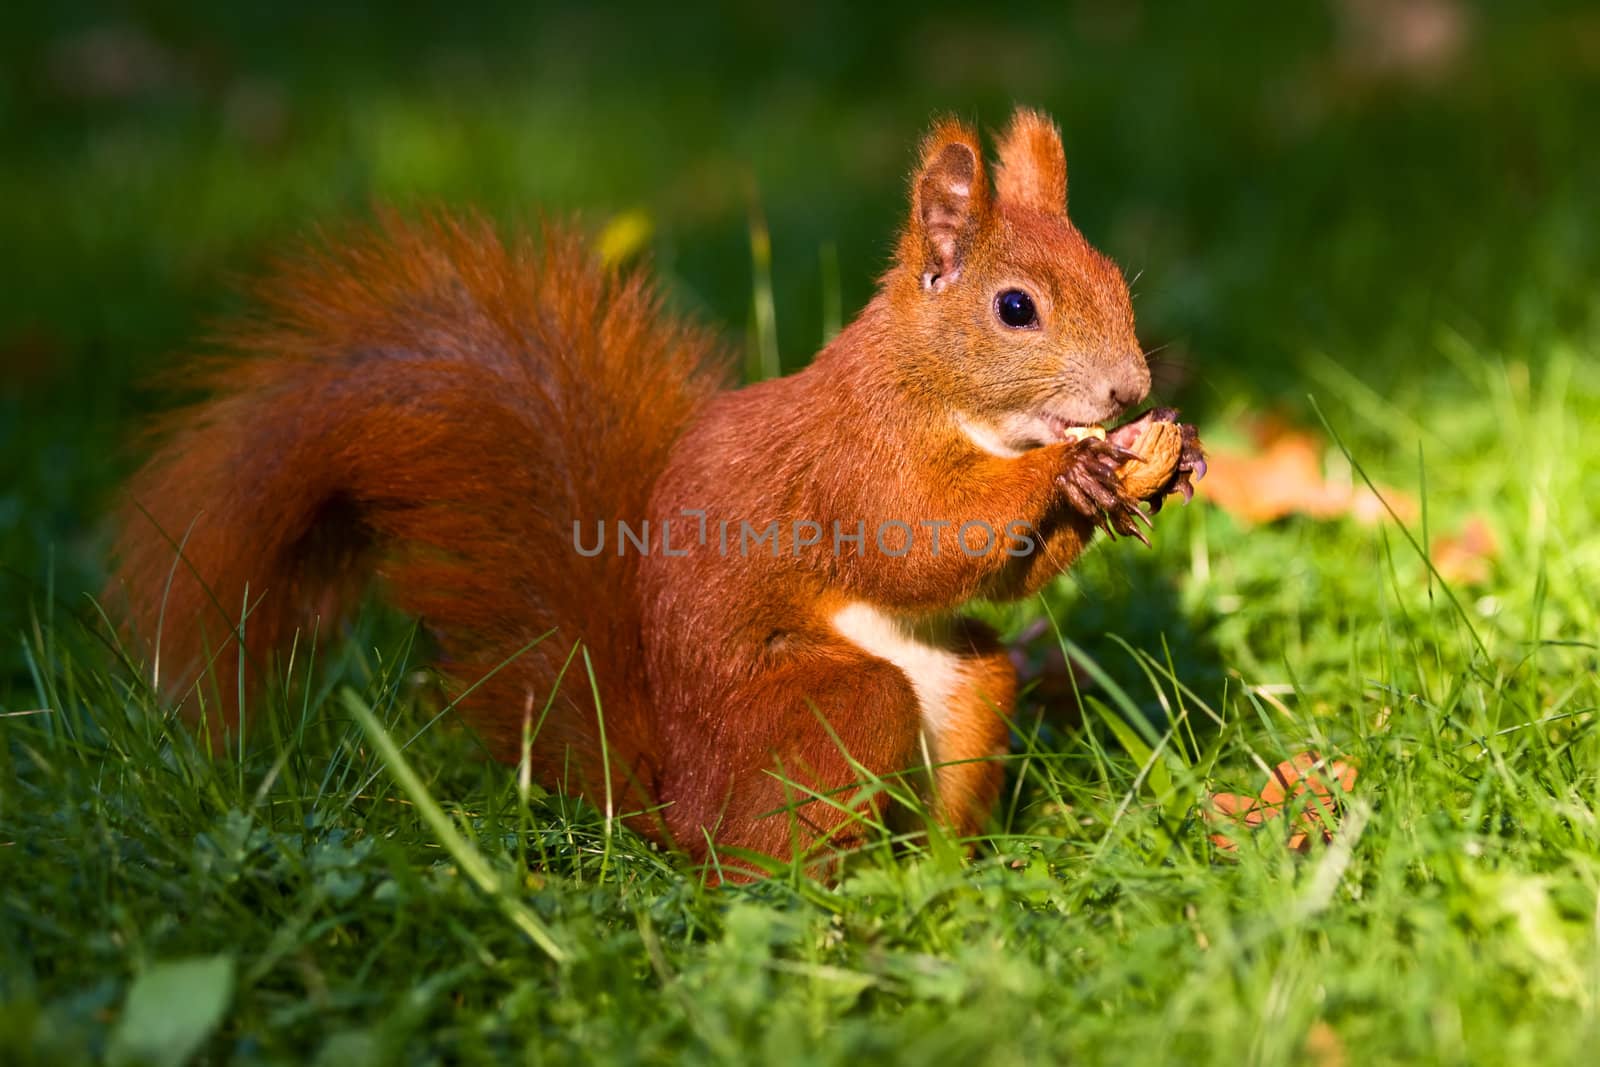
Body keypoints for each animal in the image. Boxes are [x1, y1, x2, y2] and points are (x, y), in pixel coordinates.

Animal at [112, 108, 1203, 876]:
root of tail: (676, 805)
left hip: (967, 687)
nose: (1128, 391)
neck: (944, 396)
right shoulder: (855, 458)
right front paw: (1070, 471)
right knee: (761, 863)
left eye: (1114, 276)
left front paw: (1162, 459)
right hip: (826, 708)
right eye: (1015, 308)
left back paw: (945, 877)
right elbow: (916, 541)